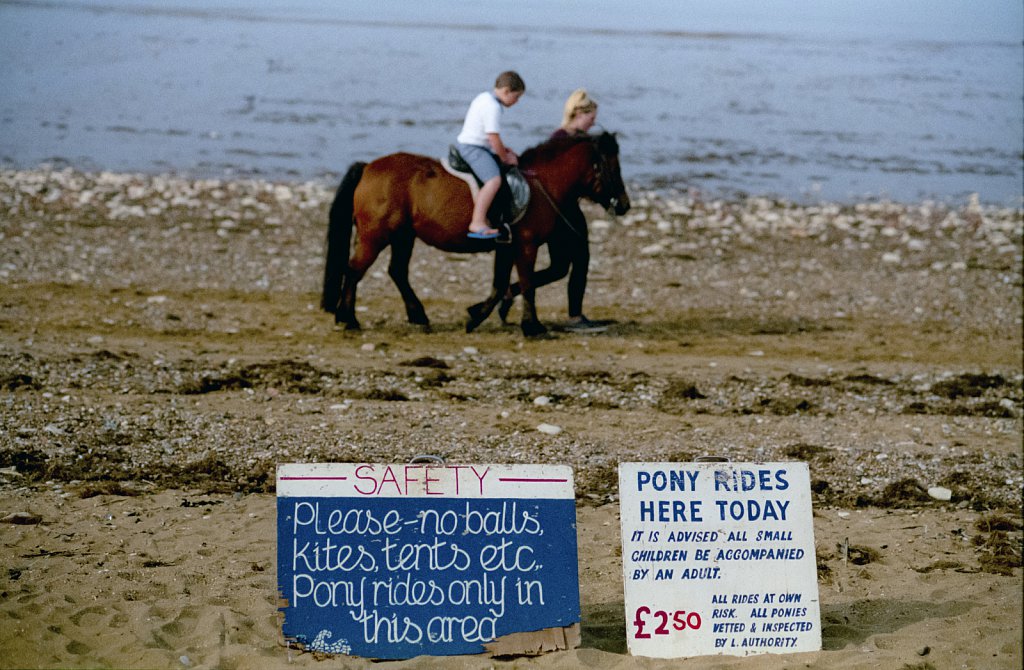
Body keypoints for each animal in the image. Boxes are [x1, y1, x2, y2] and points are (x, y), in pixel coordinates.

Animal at [319, 132, 626, 336]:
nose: (624, 204)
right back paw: (348, 319)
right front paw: (533, 326)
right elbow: (527, 284)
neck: (542, 185)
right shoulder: (525, 245)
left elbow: (499, 284)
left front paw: (476, 315)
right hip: (376, 237)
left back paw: (417, 315)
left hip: (402, 236)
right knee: (354, 270)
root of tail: (367, 168)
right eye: (613, 166)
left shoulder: (506, 246)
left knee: (396, 272)